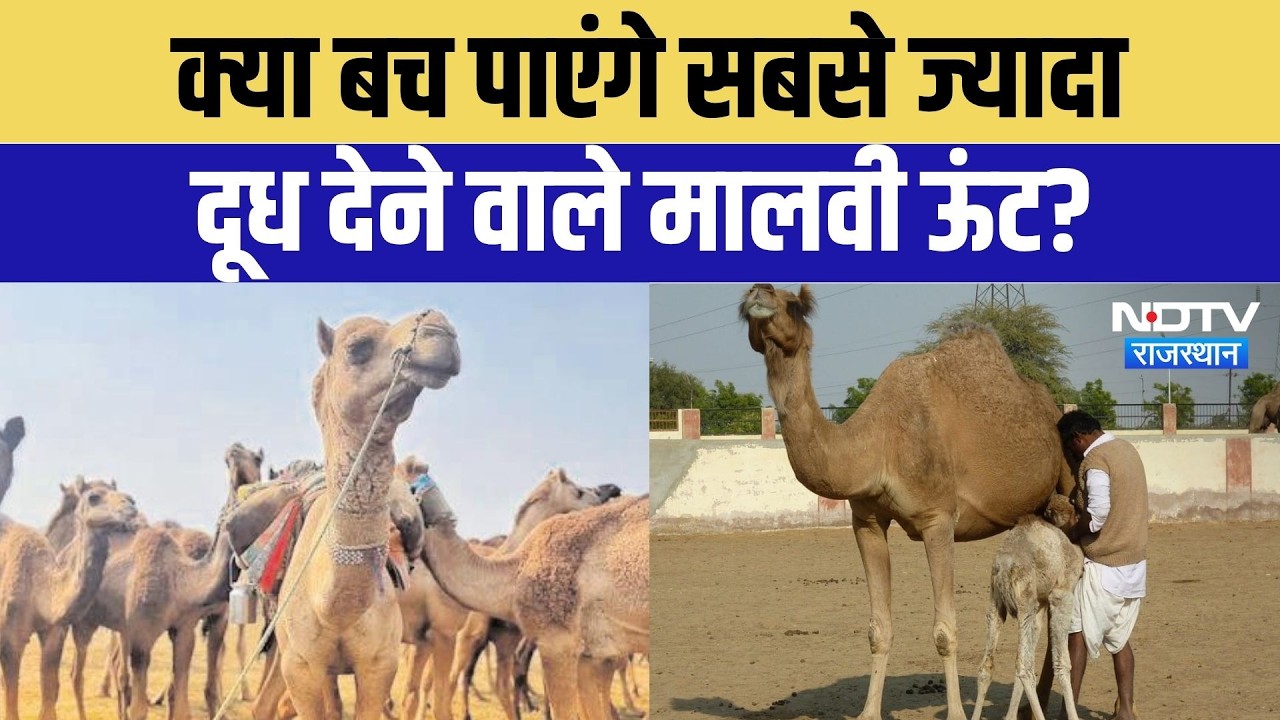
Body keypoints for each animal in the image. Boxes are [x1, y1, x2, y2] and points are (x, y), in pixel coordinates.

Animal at [0, 478, 139, 720]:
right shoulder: (10, 640)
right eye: (94, 497)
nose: (131, 505)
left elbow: (49, 702)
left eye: (124, 494)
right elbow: (11, 710)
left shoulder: (54, 634)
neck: (39, 585)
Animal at [970, 495, 1083, 720]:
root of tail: (1004, 569)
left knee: (988, 665)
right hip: (1025, 604)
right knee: (1025, 668)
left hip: (997, 604)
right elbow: (1062, 663)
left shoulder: (1040, 605)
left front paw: (1011, 716)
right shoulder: (1061, 595)